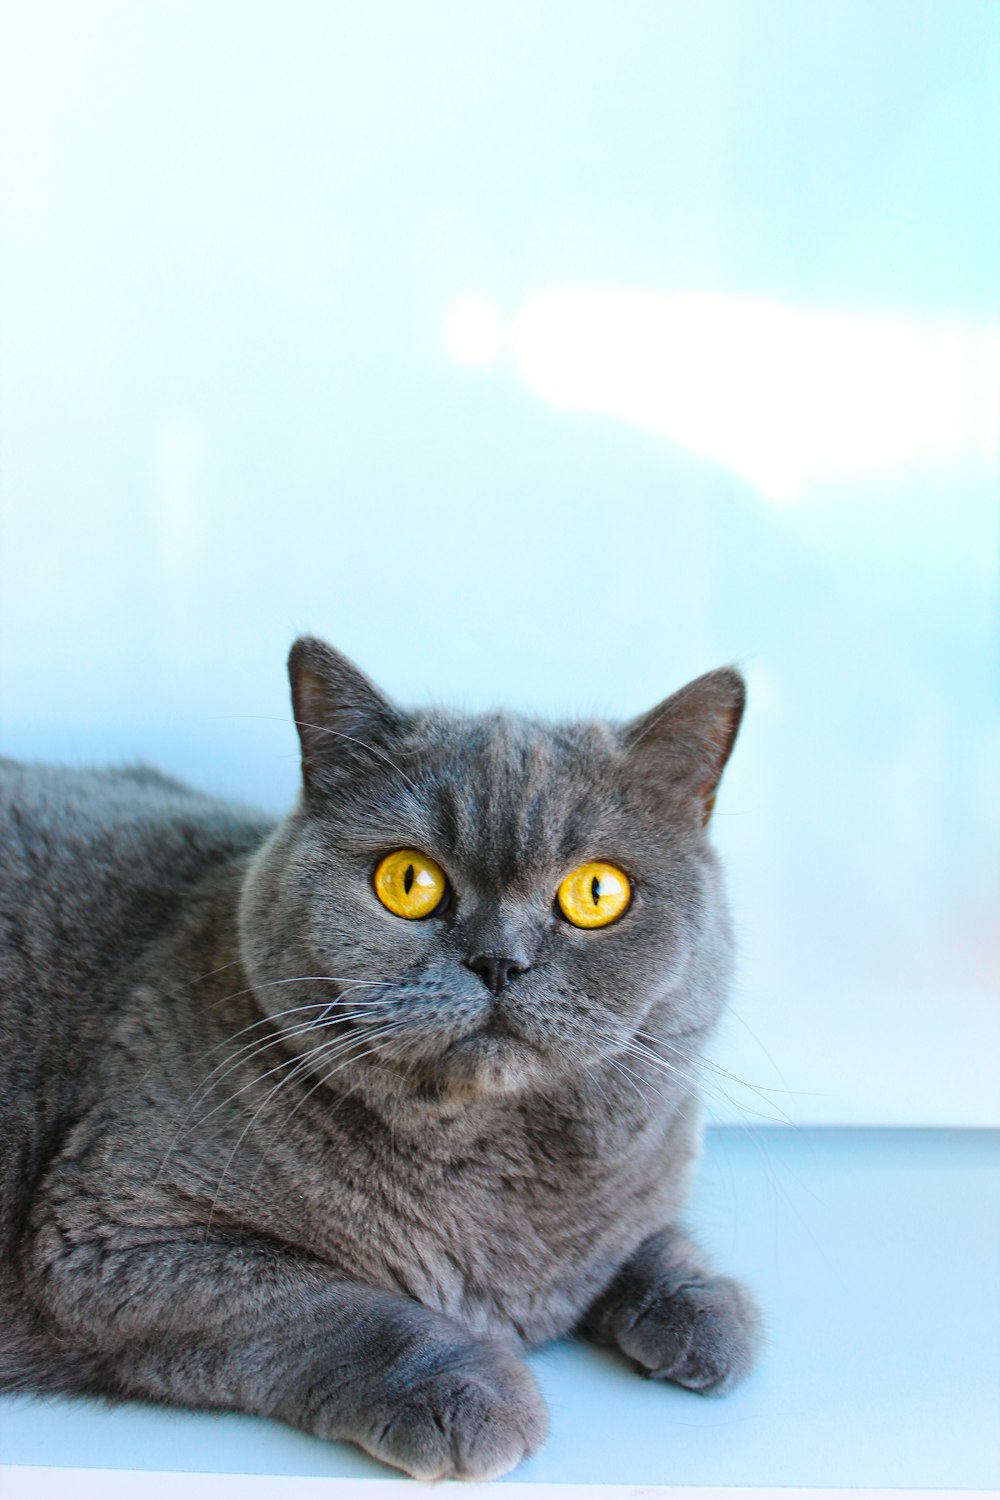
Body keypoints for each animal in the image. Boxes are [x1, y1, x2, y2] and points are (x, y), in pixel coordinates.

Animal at [0, 633, 761, 1476]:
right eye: (408, 881)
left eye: (597, 893)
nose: (499, 961)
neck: (491, 1167)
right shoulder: (114, 1235)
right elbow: (333, 1305)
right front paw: (467, 1392)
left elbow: (649, 1234)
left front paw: (706, 1310)